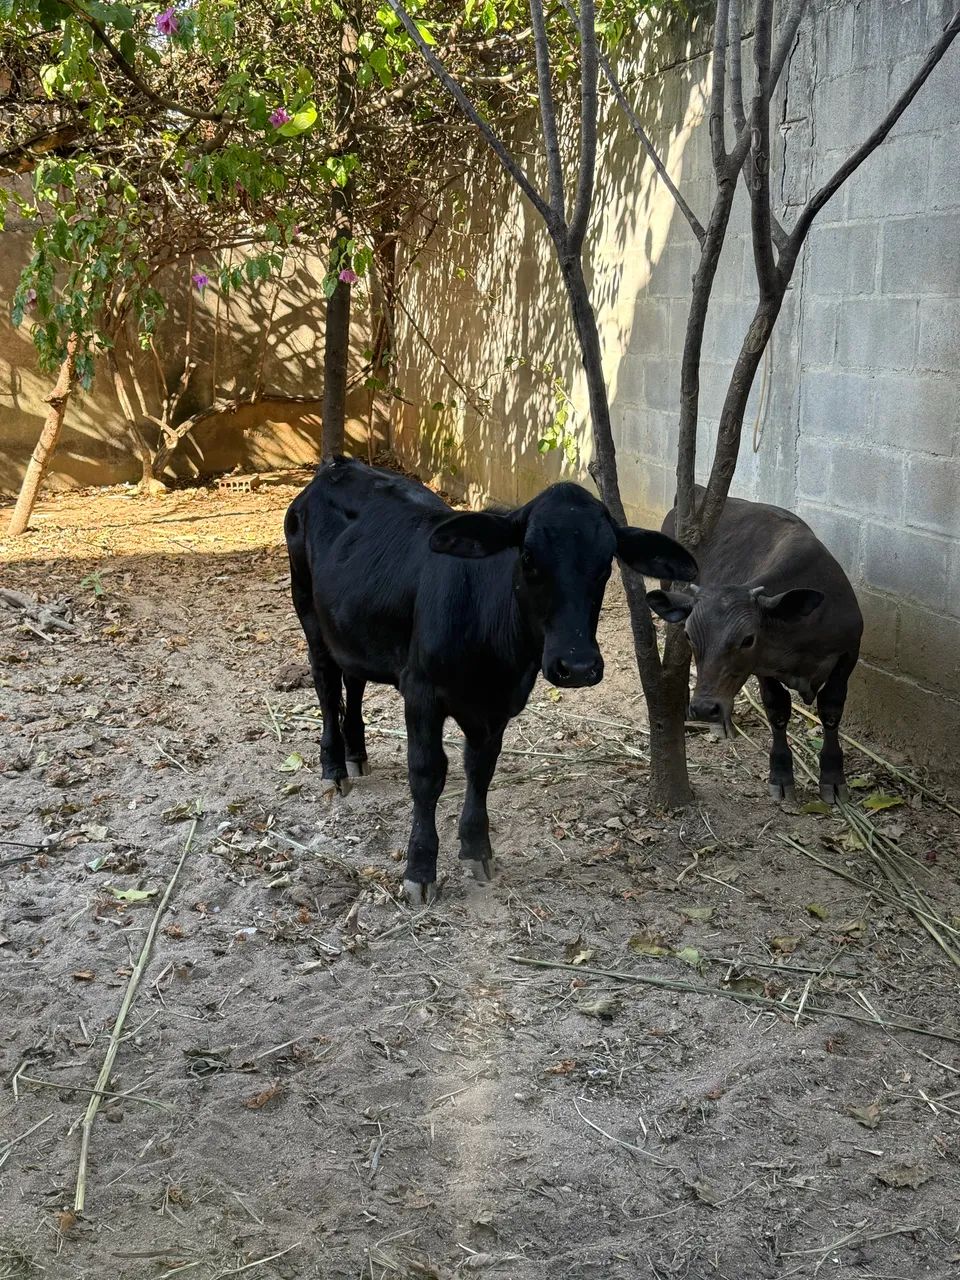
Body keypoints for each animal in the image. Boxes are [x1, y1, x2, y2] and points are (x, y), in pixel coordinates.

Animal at [284, 457, 697, 902]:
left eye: (606, 564)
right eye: (528, 557)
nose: (577, 666)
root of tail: (338, 466)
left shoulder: (500, 703)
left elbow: (480, 769)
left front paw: (476, 848)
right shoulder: (421, 692)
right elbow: (427, 774)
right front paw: (420, 868)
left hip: (350, 627)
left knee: (354, 682)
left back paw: (356, 754)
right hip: (308, 610)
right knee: (327, 684)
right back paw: (333, 766)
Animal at [646, 487, 863, 804]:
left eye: (748, 639)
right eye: (689, 635)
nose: (704, 708)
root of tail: (697, 492)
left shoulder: (848, 654)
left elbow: (831, 711)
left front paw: (833, 779)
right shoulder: (764, 669)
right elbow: (777, 711)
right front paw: (781, 777)